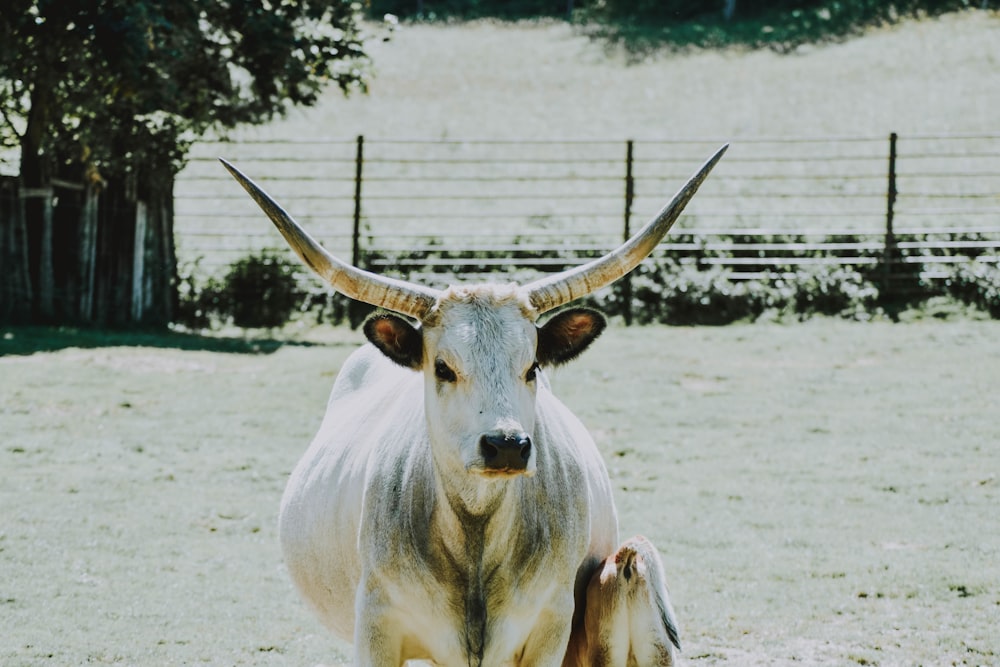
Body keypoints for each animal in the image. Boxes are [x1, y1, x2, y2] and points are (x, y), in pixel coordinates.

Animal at [221, 146, 728, 667]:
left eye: (532, 367)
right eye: (443, 367)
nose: (506, 446)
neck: (476, 529)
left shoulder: (550, 625)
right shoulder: (376, 627)